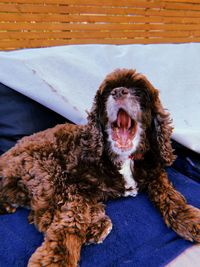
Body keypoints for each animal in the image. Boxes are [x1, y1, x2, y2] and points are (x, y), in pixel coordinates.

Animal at [0, 68, 200, 266]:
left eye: (139, 91)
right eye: (107, 92)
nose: (118, 92)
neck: (124, 159)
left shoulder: (155, 172)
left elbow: (169, 195)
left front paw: (189, 218)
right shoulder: (73, 185)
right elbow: (72, 217)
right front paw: (58, 257)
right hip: (45, 168)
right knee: (43, 216)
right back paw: (96, 224)